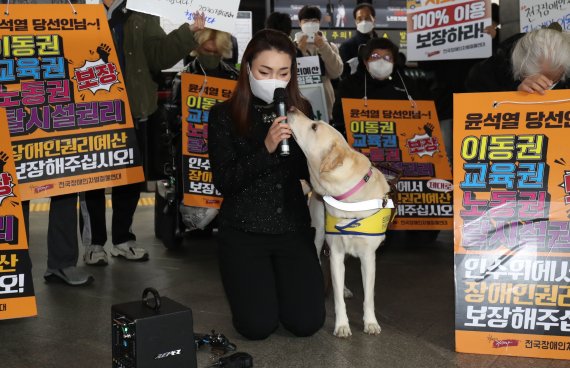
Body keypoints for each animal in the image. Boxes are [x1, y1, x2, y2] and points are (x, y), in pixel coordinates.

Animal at [286, 107, 392, 336]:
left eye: (314, 126)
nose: (291, 108)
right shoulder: (335, 250)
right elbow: (336, 299)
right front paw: (342, 325)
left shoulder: (368, 256)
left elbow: (369, 297)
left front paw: (371, 322)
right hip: (318, 233)